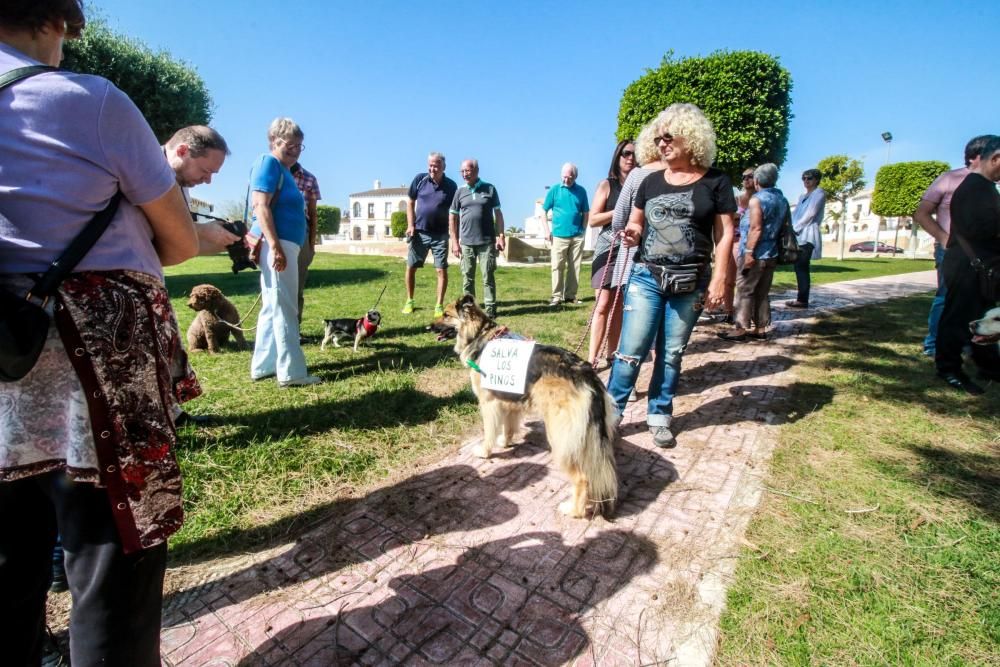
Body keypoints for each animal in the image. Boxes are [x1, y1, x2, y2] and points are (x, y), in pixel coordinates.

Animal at [438, 294, 616, 520]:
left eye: (446, 315)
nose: (427, 327)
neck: (481, 335)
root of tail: (587, 376)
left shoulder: (489, 403)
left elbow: (489, 432)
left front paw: (485, 451)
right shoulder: (508, 401)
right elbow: (508, 427)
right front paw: (505, 442)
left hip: (560, 436)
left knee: (583, 478)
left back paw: (573, 510)